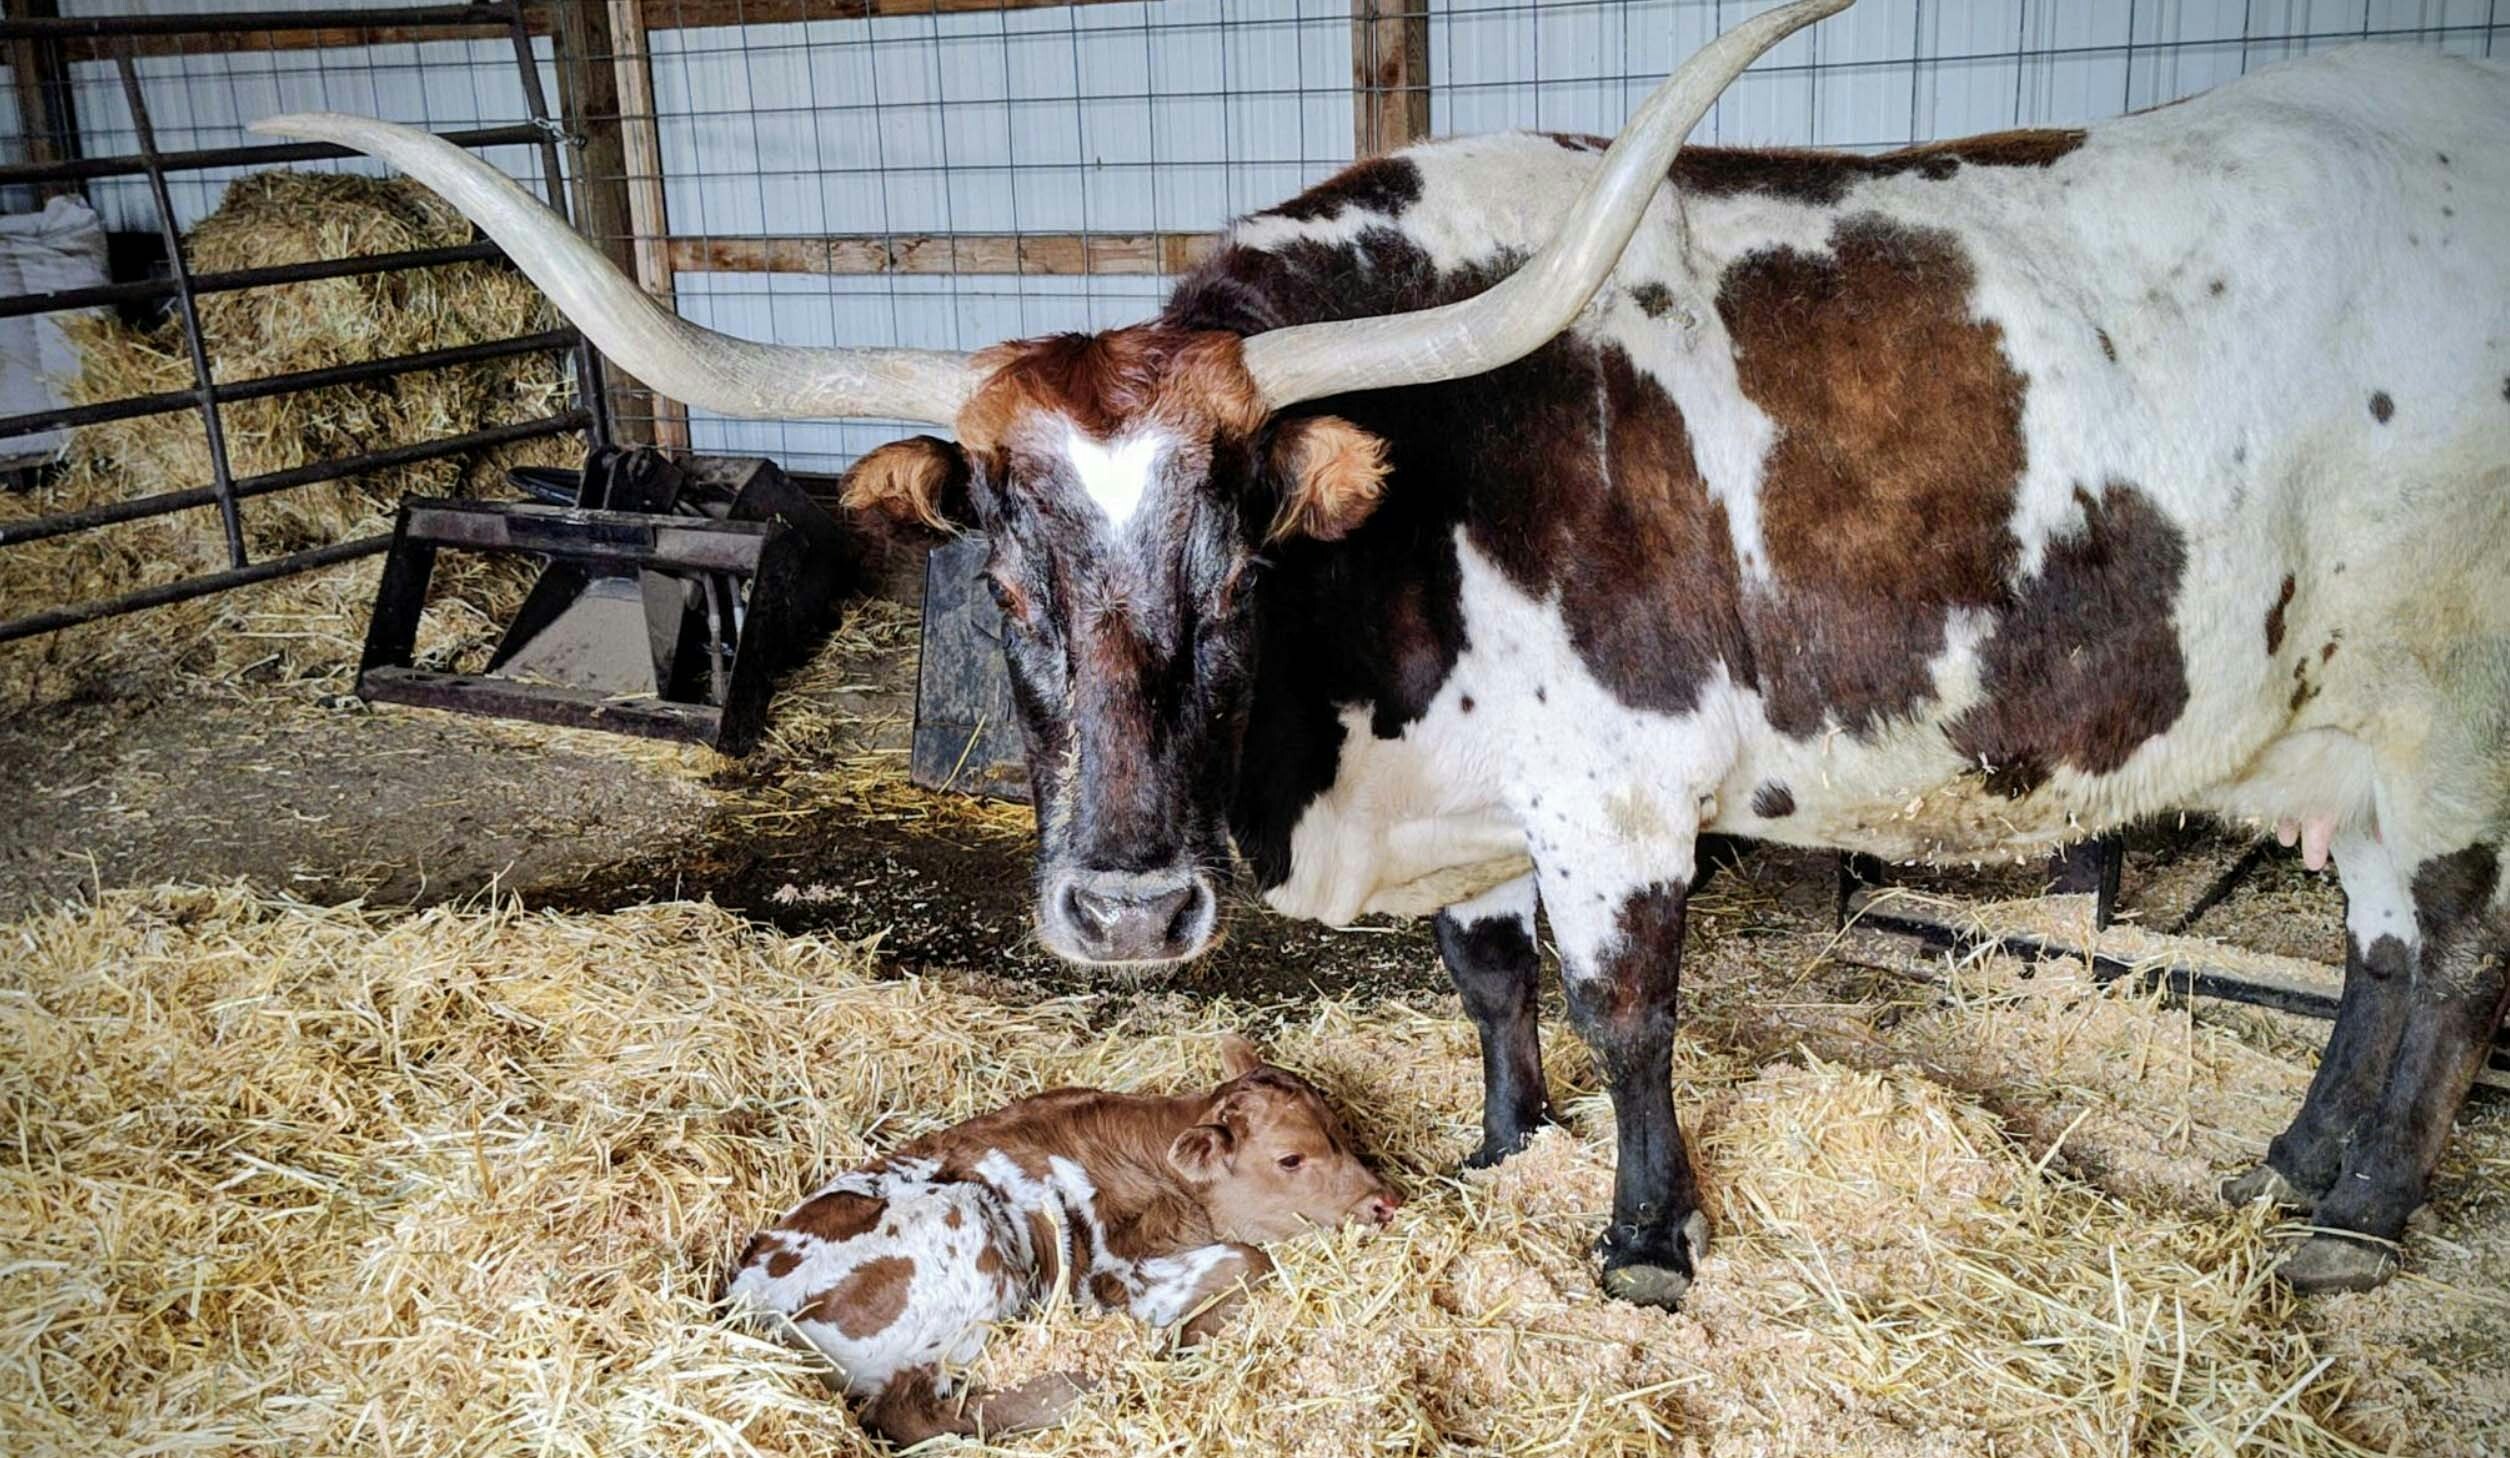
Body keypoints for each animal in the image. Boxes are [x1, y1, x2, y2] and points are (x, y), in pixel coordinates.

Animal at [259, 0, 2510, 1307]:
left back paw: (2355, 1219)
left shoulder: (1615, 799)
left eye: (1243, 556)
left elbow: (1622, 1015)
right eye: (1004, 569)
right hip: (2335, 722)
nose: (1130, 909)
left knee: (2447, 962)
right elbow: (1490, 989)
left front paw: (1639, 1242)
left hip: (2447, 706)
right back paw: (2296, 1163)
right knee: (2381, 951)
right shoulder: (1476, 816)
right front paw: (1503, 1152)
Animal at [726, 1034, 1397, 1443]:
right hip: (965, 1235)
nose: (1385, 1201)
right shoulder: (1115, 1273)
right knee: (920, 1411)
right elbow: (1250, 1256)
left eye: (1339, 1127)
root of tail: (748, 1301)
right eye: (1290, 1159)